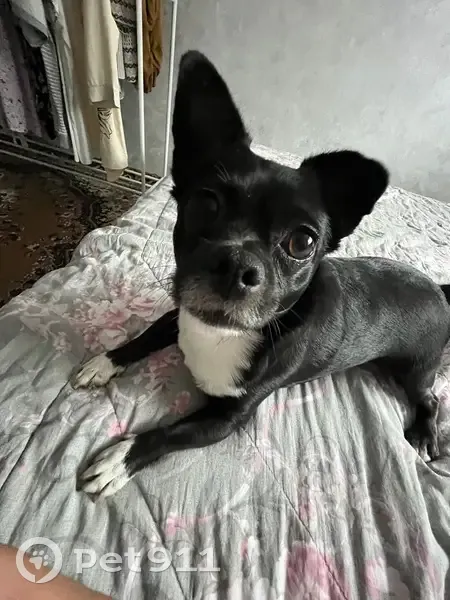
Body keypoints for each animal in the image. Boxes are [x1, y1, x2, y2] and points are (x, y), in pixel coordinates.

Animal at [73, 50, 450, 500]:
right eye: (206, 204)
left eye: (302, 242)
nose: (237, 264)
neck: (223, 334)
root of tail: (438, 289)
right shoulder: (180, 314)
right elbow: (146, 334)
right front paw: (106, 361)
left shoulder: (226, 420)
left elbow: (169, 432)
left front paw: (121, 457)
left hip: (417, 367)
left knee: (431, 398)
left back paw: (425, 435)